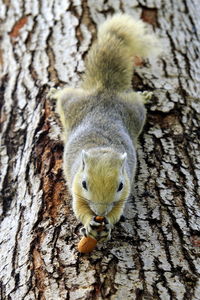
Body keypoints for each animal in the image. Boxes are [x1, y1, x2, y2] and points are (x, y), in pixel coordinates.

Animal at [48, 15, 161, 243]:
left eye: (119, 186)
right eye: (84, 184)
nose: (100, 212)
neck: (102, 148)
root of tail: (104, 91)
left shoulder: (125, 189)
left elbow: (117, 210)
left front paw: (108, 223)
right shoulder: (75, 185)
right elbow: (79, 208)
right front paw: (89, 225)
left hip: (135, 112)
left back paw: (144, 96)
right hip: (72, 104)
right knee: (65, 95)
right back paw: (55, 93)